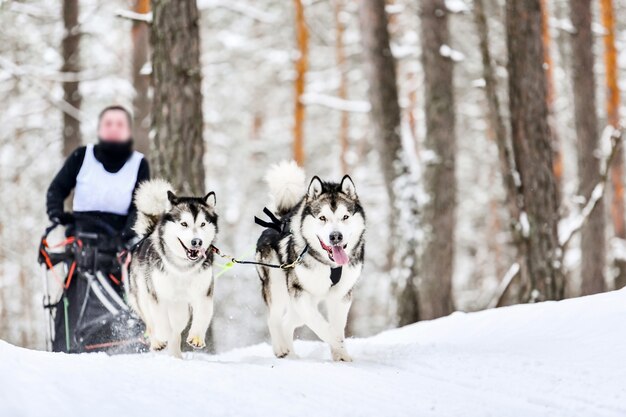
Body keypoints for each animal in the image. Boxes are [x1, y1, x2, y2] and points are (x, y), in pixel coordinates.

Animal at [127, 179, 217, 358]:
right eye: (184, 224)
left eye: (203, 224)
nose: (197, 242)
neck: (183, 267)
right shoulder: (157, 295)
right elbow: (160, 321)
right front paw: (161, 337)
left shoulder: (203, 292)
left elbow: (202, 315)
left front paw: (197, 337)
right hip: (142, 297)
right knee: (151, 324)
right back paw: (157, 342)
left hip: (180, 310)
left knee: (176, 332)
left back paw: (175, 356)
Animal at [255, 161, 366, 360]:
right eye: (322, 217)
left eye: (345, 217)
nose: (335, 236)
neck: (330, 266)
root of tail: (279, 221)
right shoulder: (299, 293)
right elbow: (320, 325)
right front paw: (336, 342)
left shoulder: (341, 295)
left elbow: (337, 325)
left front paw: (341, 356)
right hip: (278, 288)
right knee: (274, 319)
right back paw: (281, 348)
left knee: (287, 322)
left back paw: (291, 354)